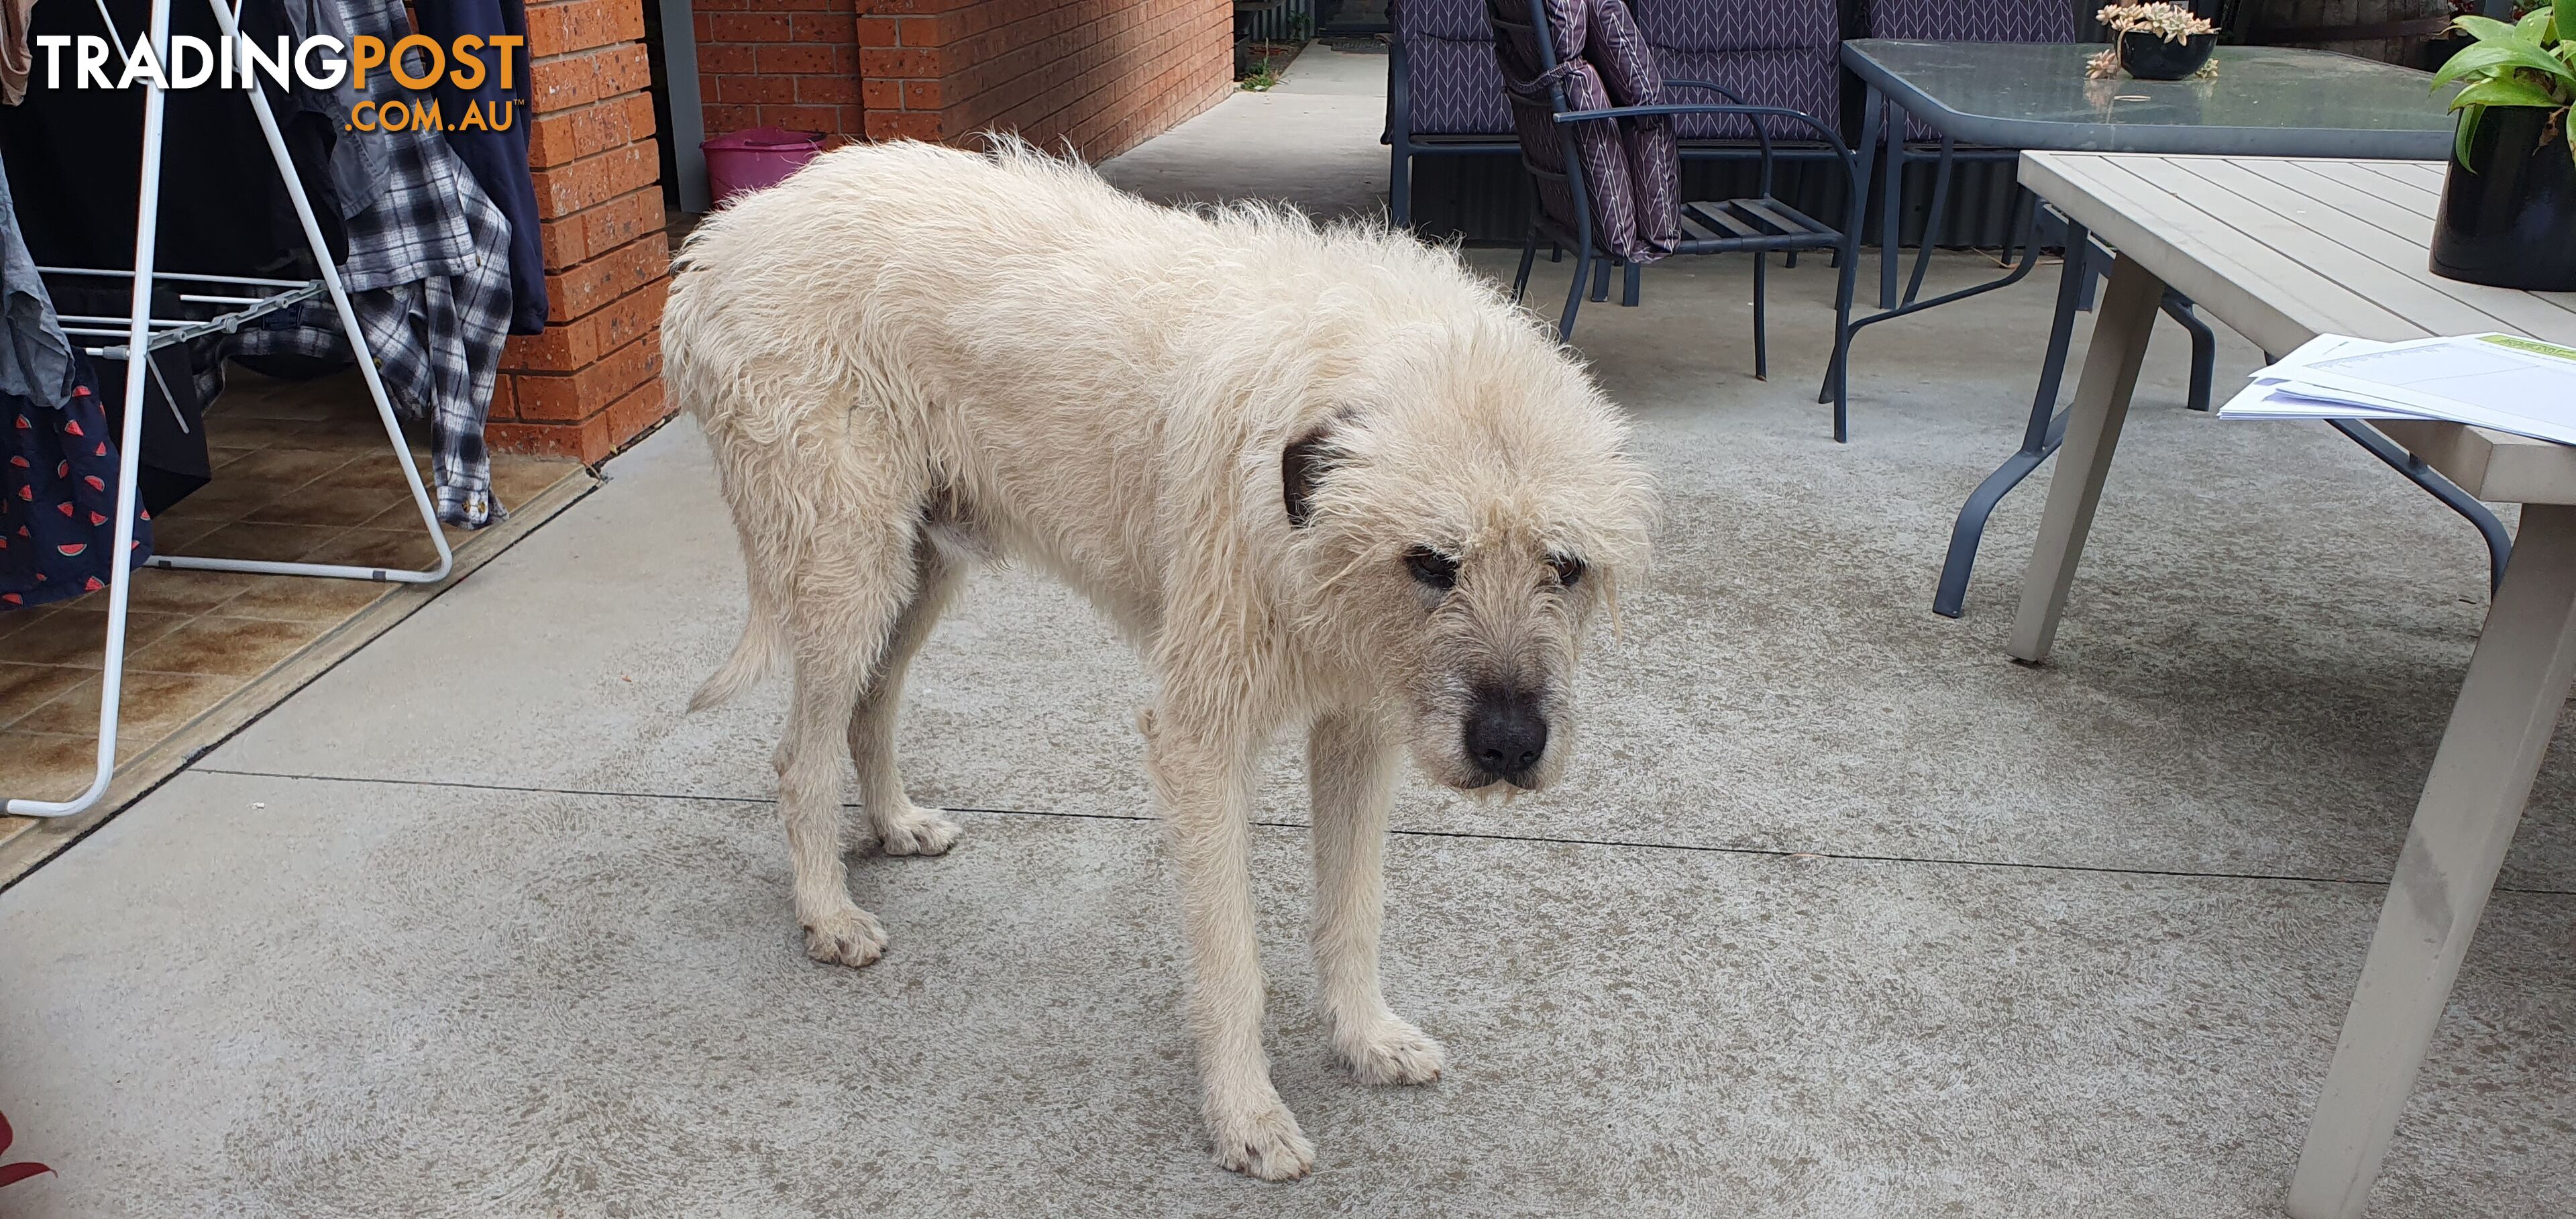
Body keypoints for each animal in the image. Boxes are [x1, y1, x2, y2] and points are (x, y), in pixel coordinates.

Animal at [669, 138, 1648, 1175]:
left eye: (1566, 565)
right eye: (1432, 560)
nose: (1511, 747)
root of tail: (724, 238)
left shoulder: (1359, 725)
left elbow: (1355, 904)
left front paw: (1365, 1037)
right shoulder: (1200, 740)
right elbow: (1232, 955)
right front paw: (1246, 1114)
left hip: (918, 570)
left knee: (870, 705)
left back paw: (894, 824)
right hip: (845, 570)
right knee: (799, 754)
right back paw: (827, 911)